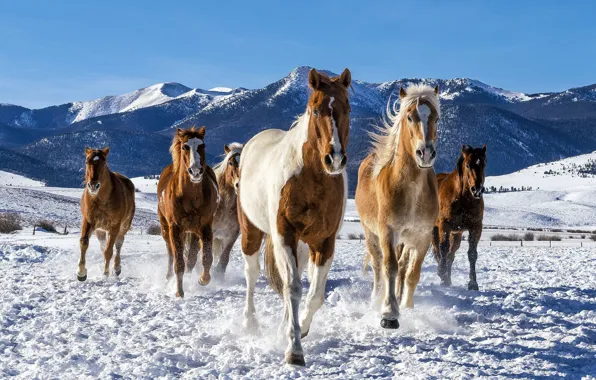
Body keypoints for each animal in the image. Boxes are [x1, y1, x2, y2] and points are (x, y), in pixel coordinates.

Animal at [77, 147, 136, 280]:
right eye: (87, 162)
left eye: (103, 163)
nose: (93, 186)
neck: (101, 200)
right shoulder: (88, 221)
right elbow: (84, 242)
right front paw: (81, 273)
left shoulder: (114, 227)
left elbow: (109, 251)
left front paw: (105, 274)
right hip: (100, 230)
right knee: (103, 245)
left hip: (123, 227)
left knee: (118, 244)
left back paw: (116, 268)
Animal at [158, 126, 219, 298]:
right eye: (185, 147)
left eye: (202, 146)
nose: (196, 171)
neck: (191, 197)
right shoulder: (175, 228)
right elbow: (178, 262)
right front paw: (179, 291)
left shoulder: (205, 227)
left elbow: (206, 258)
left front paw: (203, 280)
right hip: (165, 229)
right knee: (170, 254)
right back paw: (168, 278)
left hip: (194, 232)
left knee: (191, 257)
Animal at [236, 67, 352, 366]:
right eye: (315, 109)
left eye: (347, 108)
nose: (334, 158)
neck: (311, 179)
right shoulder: (284, 235)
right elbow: (292, 288)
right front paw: (294, 349)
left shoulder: (324, 242)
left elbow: (315, 295)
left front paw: (301, 329)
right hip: (251, 232)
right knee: (251, 274)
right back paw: (249, 323)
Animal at [356, 84, 440, 328]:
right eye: (410, 117)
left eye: (436, 118)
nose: (426, 153)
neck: (411, 191)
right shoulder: (387, 232)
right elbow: (389, 268)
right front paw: (389, 313)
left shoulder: (423, 236)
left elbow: (412, 272)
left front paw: (407, 306)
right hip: (370, 233)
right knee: (377, 266)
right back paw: (375, 299)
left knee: (402, 266)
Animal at [430, 145, 486, 290]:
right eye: (467, 165)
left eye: (484, 164)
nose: (477, 189)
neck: (463, 198)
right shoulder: (444, 225)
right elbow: (443, 249)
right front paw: (442, 273)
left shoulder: (475, 227)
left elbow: (472, 254)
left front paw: (473, 283)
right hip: (434, 230)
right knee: (438, 251)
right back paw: (443, 275)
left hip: (457, 234)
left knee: (451, 255)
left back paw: (448, 280)